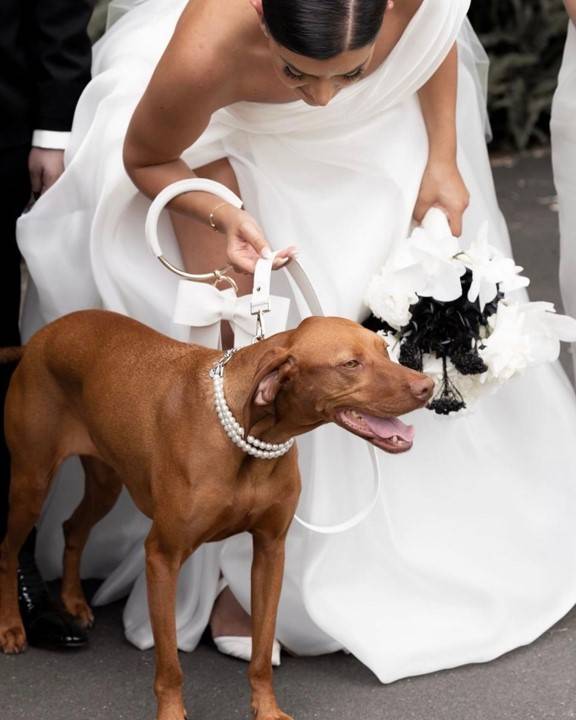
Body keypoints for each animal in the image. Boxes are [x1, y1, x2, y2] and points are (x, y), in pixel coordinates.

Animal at [0, 310, 432, 720]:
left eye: (383, 349)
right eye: (350, 364)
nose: (426, 386)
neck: (251, 435)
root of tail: (39, 339)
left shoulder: (270, 551)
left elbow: (261, 651)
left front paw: (267, 709)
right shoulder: (162, 557)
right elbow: (170, 665)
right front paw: (171, 713)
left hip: (105, 482)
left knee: (73, 528)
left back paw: (74, 601)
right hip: (31, 484)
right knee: (8, 549)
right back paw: (11, 628)